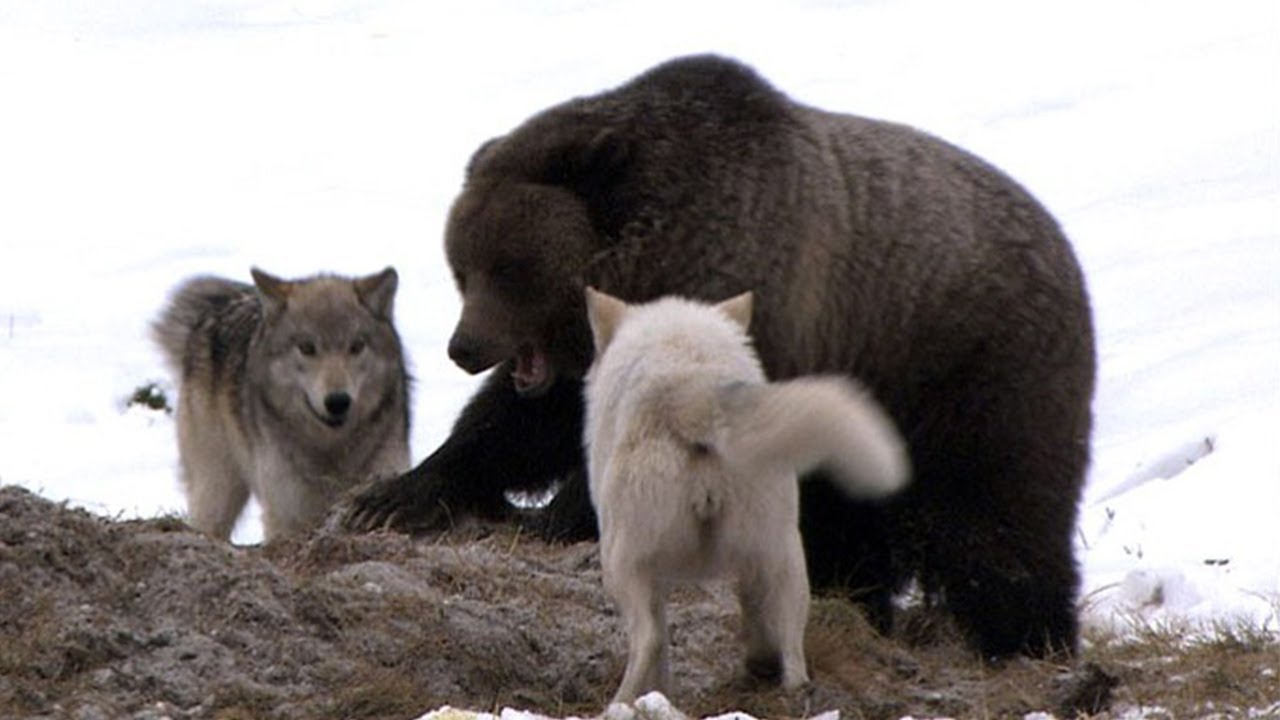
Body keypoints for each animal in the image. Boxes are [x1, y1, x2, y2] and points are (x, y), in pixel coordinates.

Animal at [152, 267, 409, 538]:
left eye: (357, 346)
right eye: (307, 348)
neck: (331, 448)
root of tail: (219, 309)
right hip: (216, 494)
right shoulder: (285, 517)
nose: (338, 401)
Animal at [583, 286, 911, 702]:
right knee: (792, 652)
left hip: (620, 566)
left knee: (648, 640)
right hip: (782, 556)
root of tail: (695, 393)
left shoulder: (651, 576)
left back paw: (620, 704)